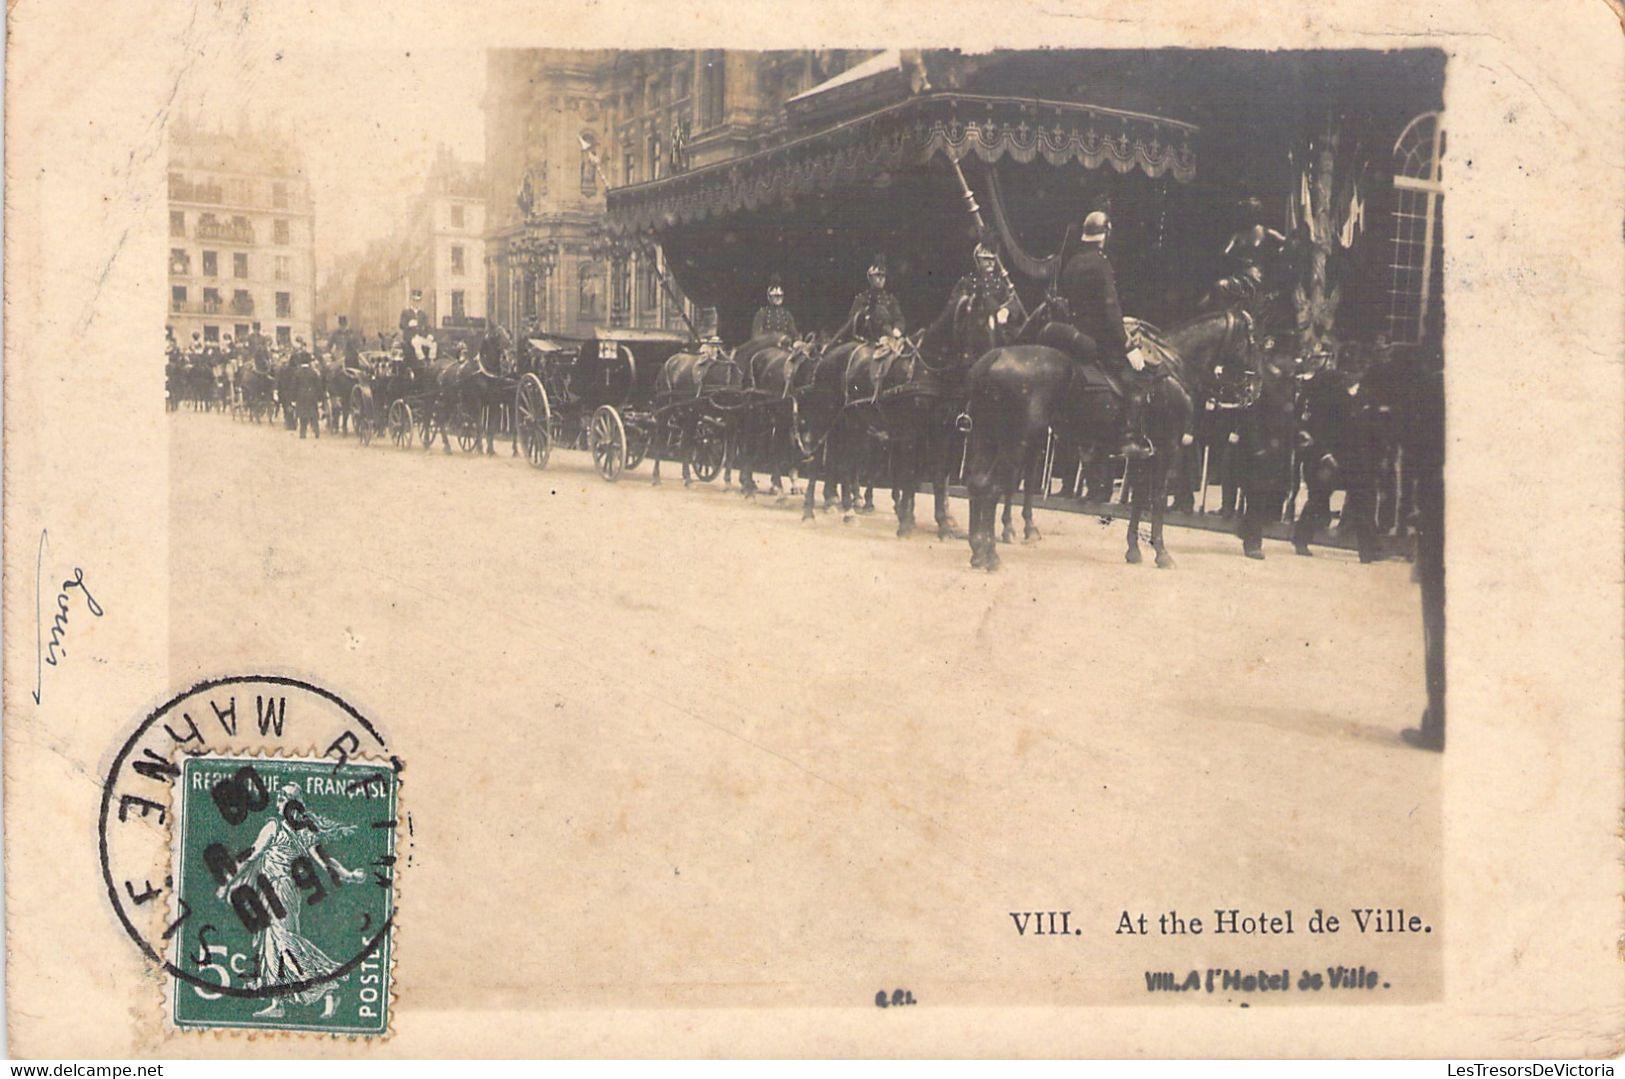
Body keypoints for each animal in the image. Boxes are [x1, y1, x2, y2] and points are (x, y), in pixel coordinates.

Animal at [962, 307, 1254, 568]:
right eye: (1249, 343)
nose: (1254, 389)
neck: (1173, 367)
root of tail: (996, 355)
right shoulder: (1166, 448)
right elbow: (1158, 499)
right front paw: (1162, 554)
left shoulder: (1142, 454)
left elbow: (1138, 499)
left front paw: (1134, 550)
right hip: (1016, 442)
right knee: (994, 486)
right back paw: (991, 555)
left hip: (988, 437)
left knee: (979, 483)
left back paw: (978, 550)